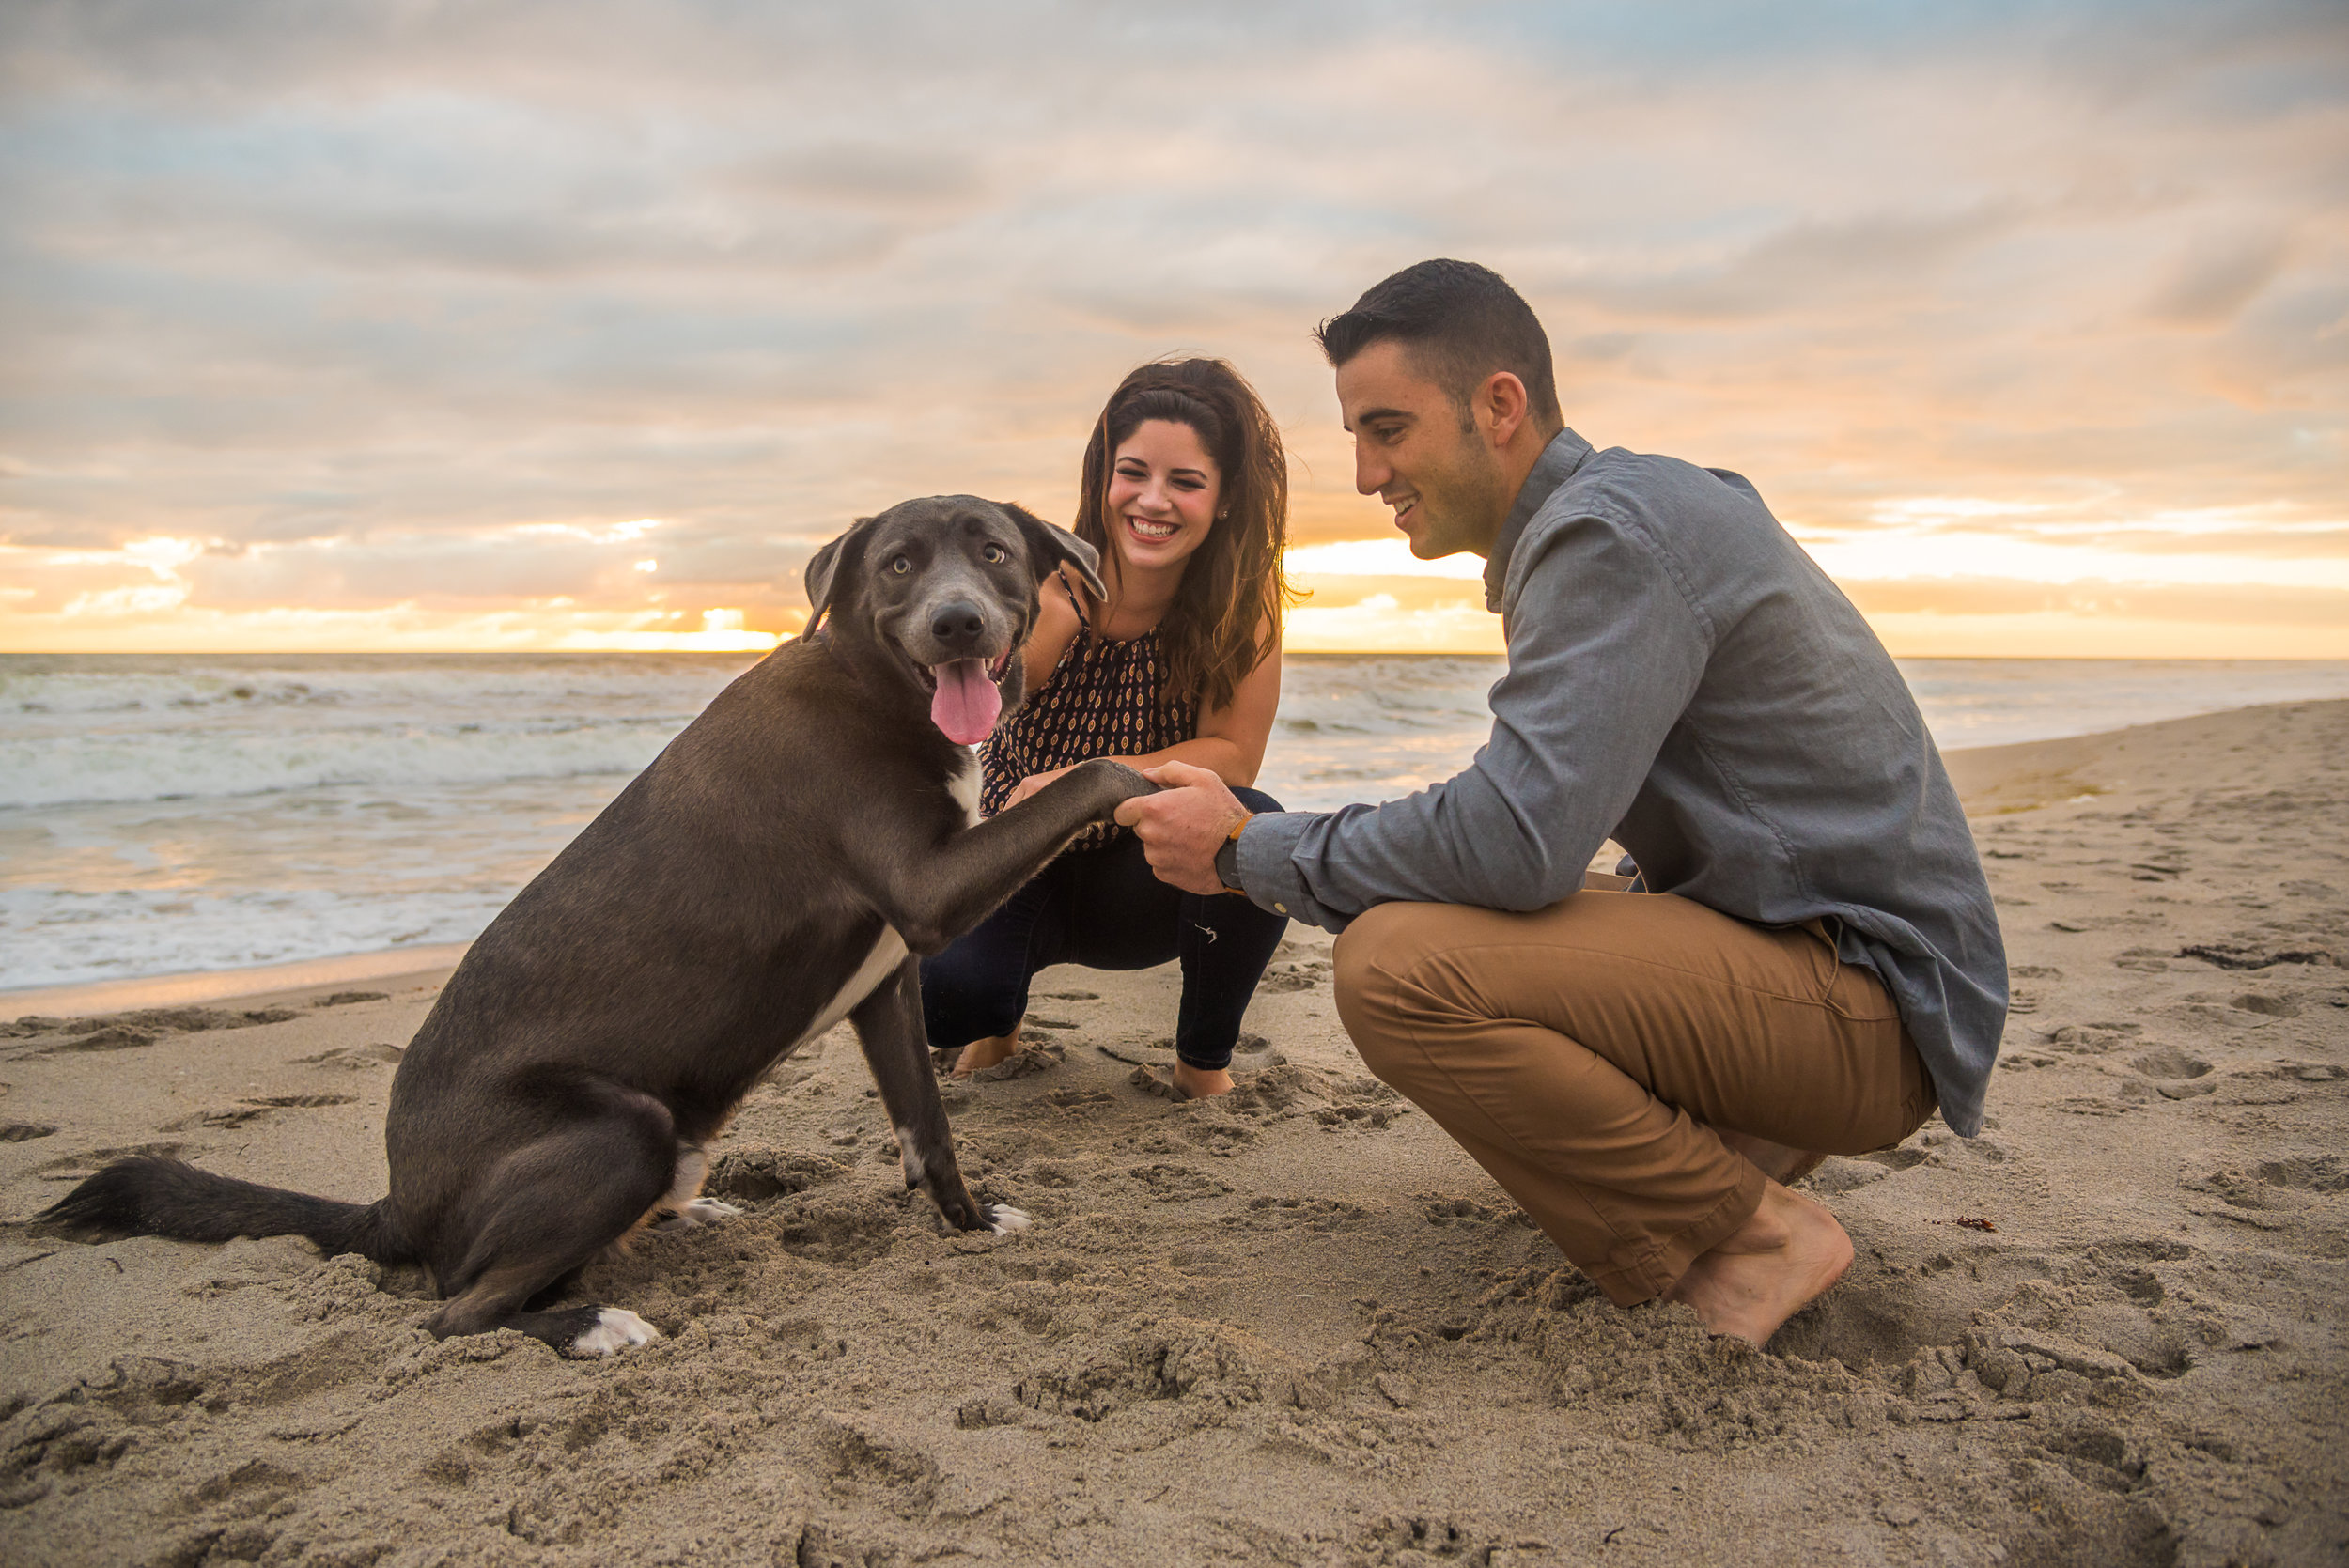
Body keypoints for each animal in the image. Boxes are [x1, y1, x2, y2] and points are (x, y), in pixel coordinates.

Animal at [41, 495, 1160, 1352]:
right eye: (897, 565)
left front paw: (970, 1225)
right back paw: (587, 1323)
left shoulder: (887, 982)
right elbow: (1098, 774)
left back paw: (683, 1215)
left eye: (994, 554)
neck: (869, 682)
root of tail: (400, 1203)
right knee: (455, 1313)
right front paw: (1162, 787)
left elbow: (929, 1131)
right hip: (623, 1127)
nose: (958, 624)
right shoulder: (927, 894)